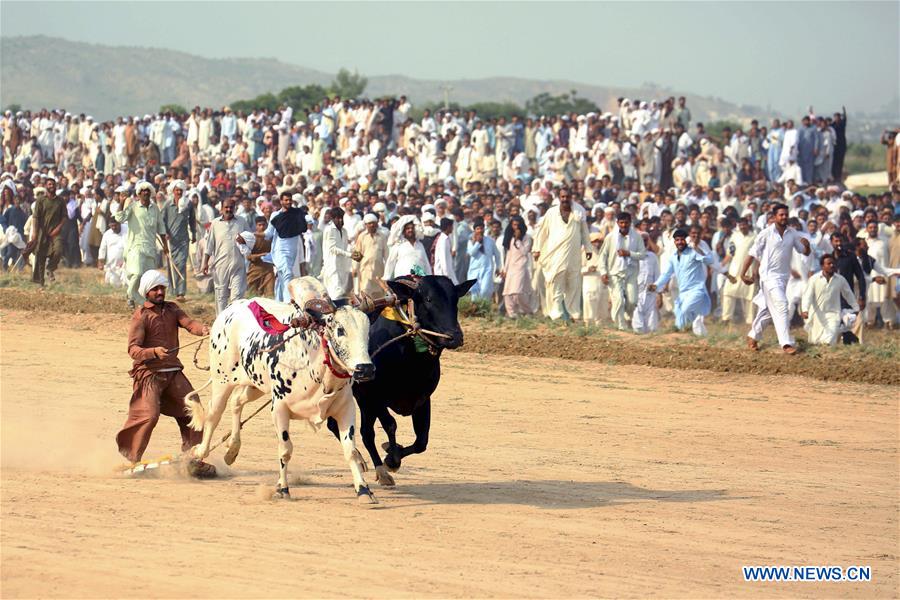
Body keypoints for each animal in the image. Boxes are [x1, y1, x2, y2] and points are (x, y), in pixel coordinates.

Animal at [186, 278, 376, 504]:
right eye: (340, 330)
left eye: (367, 331)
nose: (365, 369)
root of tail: (231, 308)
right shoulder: (279, 408)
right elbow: (285, 450)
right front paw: (282, 488)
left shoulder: (346, 409)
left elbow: (351, 451)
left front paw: (363, 489)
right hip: (221, 380)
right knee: (214, 415)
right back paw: (199, 453)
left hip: (255, 385)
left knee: (237, 402)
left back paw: (232, 449)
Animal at [326, 274, 474, 486]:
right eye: (428, 299)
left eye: (455, 300)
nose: (454, 337)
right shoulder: (373, 397)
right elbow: (389, 425)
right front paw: (391, 460)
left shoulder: (422, 400)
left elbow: (422, 441)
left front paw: (390, 452)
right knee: (362, 432)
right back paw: (374, 467)